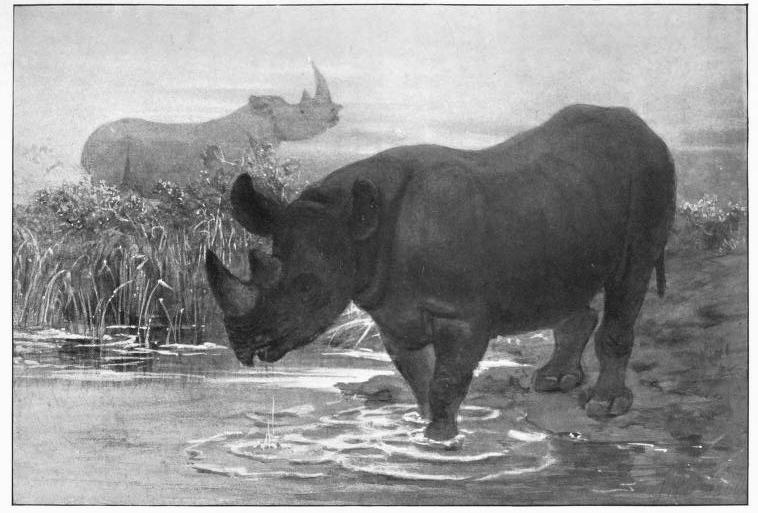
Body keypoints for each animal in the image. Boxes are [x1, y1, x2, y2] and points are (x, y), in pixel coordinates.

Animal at [206, 104, 676, 442]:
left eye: (308, 289)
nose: (242, 344)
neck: (353, 226)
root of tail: (646, 129)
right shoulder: (391, 310)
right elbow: (419, 375)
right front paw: (424, 426)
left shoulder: (462, 313)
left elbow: (447, 377)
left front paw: (440, 440)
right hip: (566, 202)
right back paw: (552, 382)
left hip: (651, 173)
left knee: (630, 277)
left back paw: (603, 406)